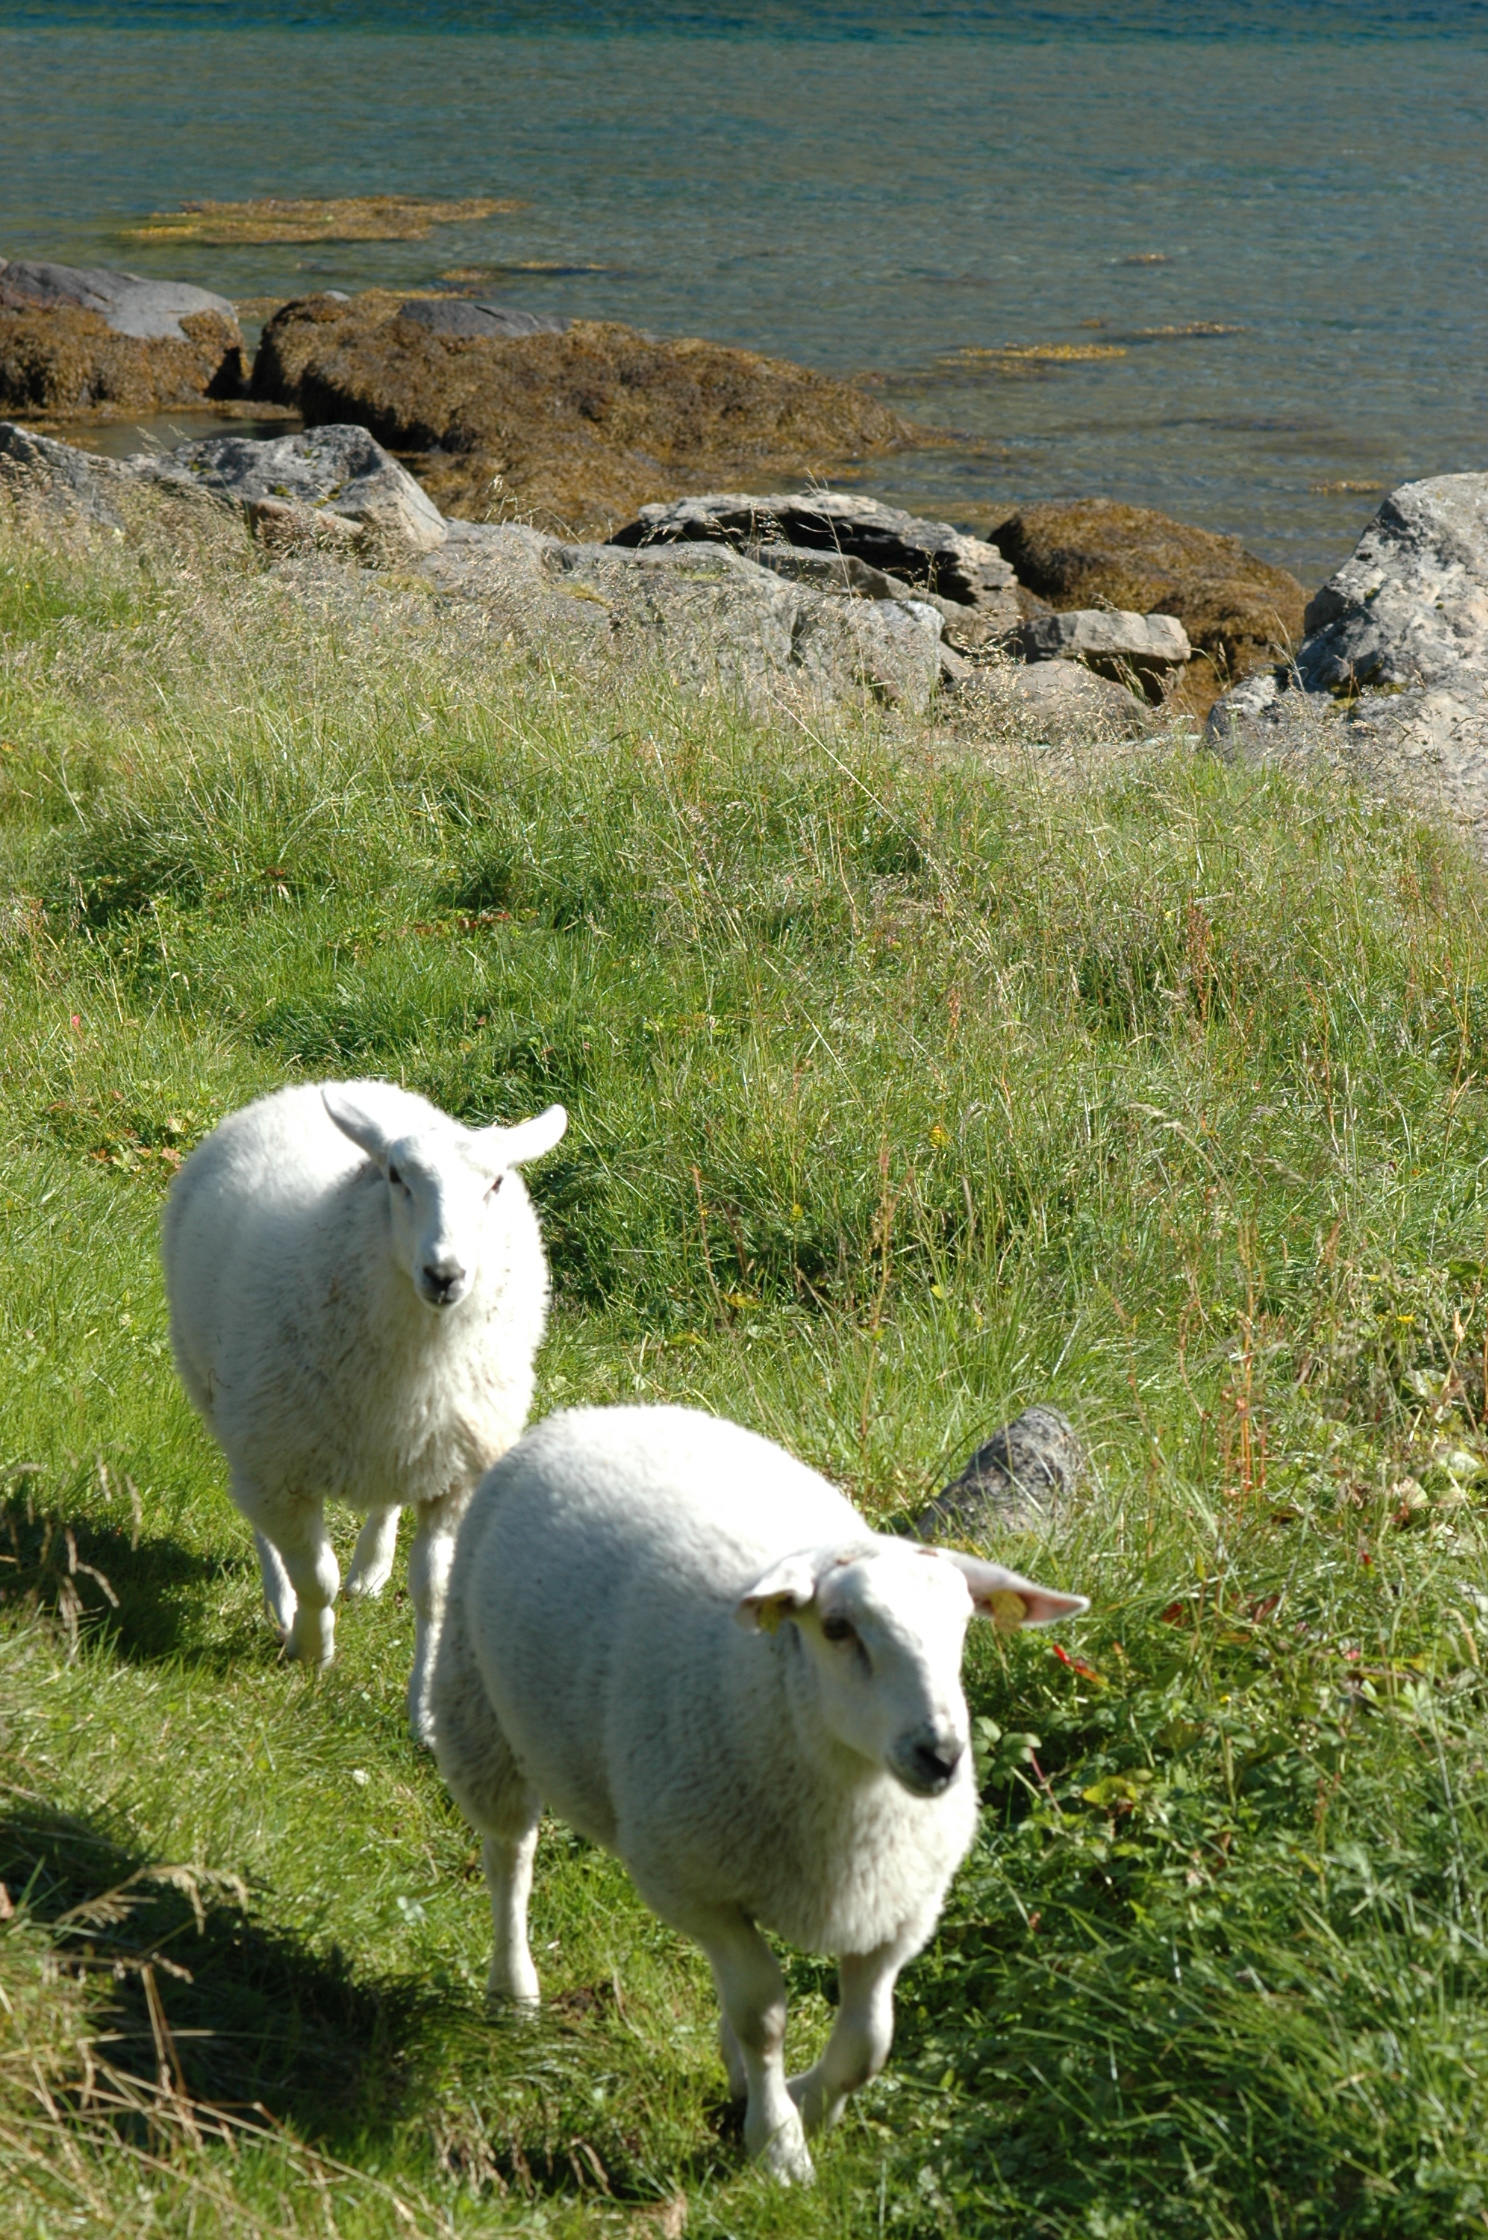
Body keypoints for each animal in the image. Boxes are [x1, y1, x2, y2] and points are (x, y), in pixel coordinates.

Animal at [162, 1078, 567, 1740]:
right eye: (396, 1177)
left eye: (496, 1184)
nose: (445, 1273)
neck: (420, 1358)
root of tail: (356, 1084)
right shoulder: (279, 1463)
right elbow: (315, 1576)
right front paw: (310, 1648)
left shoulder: (456, 1476)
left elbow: (434, 1593)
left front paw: (426, 1711)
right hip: (227, 1402)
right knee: (259, 1516)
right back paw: (280, 1600)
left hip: (405, 1444)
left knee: (386, 1501)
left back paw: (372, 1567)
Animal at [432, 1403, 1088, 2183]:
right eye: (837, 1628)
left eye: (963, 1627)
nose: (942, 1755)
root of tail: (601, 1411)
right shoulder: (696, 1889)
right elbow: (763, 2014)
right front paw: (778, 2146)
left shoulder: (901, 1905)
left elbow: (869, 2041)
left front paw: (809, 2104)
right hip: (476, 1703)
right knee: (509, 1856)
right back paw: (513, 1991)